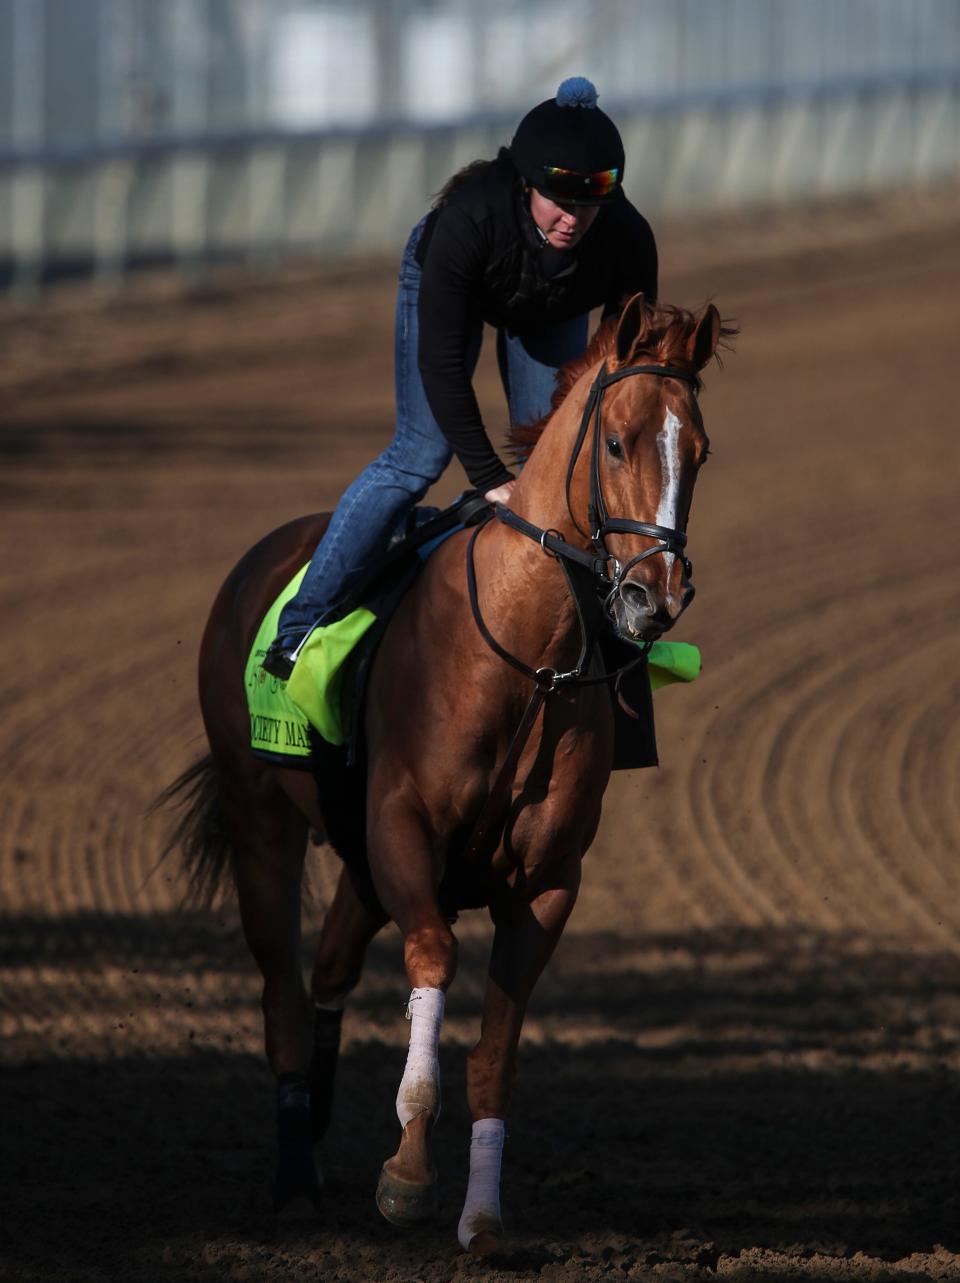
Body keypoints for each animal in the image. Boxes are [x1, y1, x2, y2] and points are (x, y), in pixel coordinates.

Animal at [161, 293, 723, 1252]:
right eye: (616, 442)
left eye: (702, 449)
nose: (655, 596)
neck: (528, 659)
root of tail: (266, 554)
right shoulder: (402, 831)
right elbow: (435, 956)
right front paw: (407, 1176)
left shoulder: (547, 880)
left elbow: (495, 1055)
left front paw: (483, 1217)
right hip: (261, 817)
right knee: (281, 994)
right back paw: (296, 1178)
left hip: (354, 856)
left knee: (329, 971)